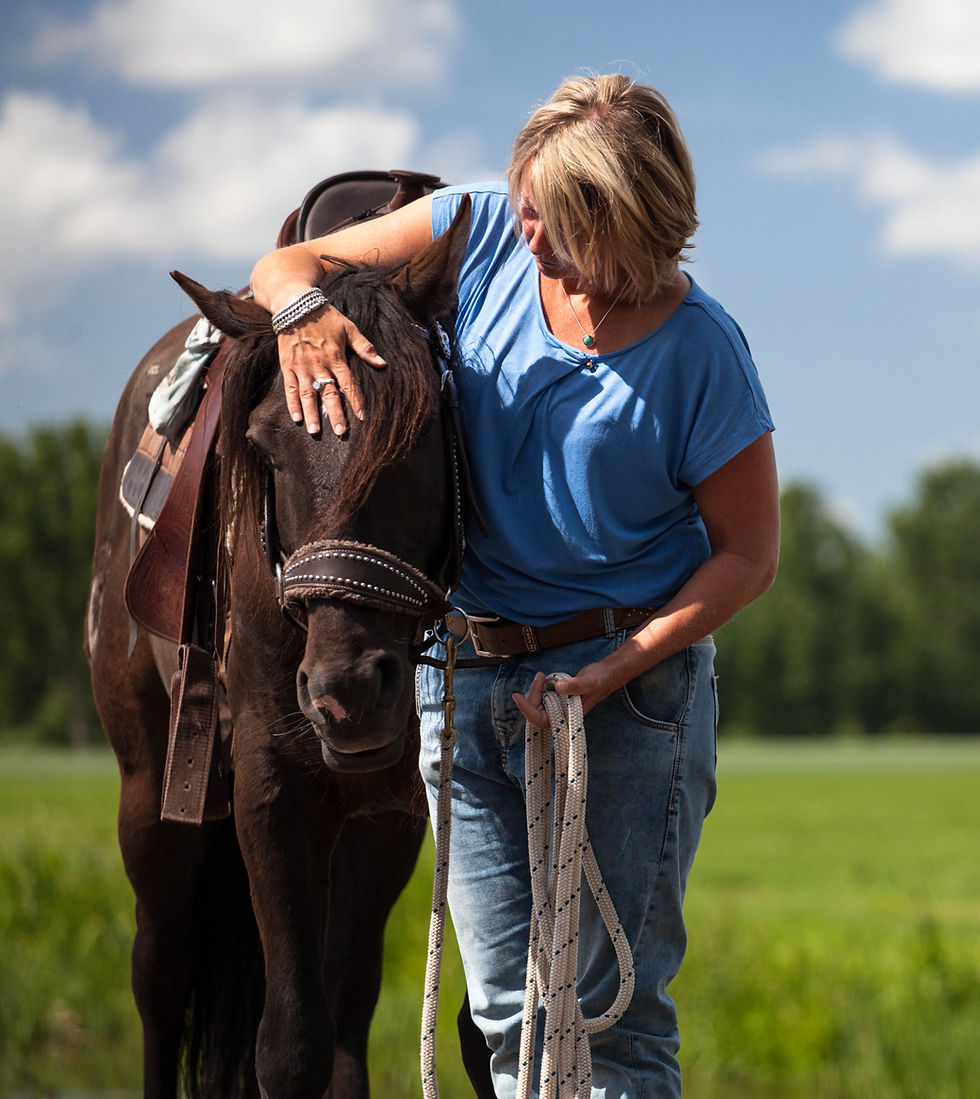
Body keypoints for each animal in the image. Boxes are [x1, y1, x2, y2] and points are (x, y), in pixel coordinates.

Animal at [86, 196, 491, 1098]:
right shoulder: (272, 785)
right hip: (147, 794)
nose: (349, 690)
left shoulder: (412, 806)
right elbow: (292, 1044)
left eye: (421, 435)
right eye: (267, 449)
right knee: (159, 980)